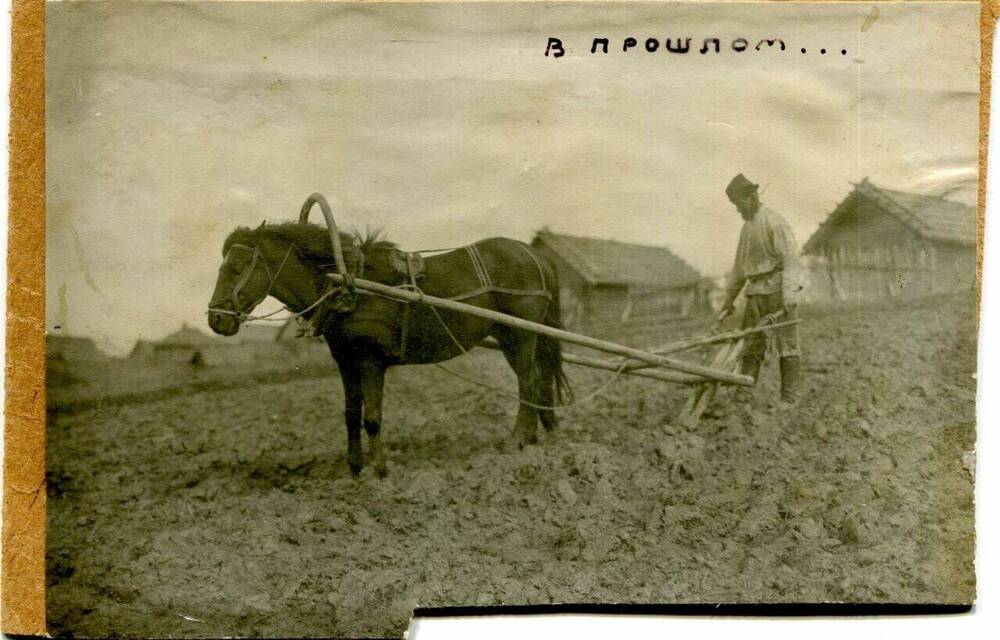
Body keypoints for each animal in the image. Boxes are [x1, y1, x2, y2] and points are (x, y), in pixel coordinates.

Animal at [209, 218, 572, 478]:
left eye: (236, 269)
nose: (215, 319)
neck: (348, 286)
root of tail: (536, 255)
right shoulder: (345, 361)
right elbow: (350, 414)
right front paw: (355, 468)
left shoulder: (372, 360)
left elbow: (372, 417)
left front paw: (380, 470)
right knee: (539, 380)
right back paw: (542, 434)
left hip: (518, 335)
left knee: (529, 382)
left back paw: (519, 439)